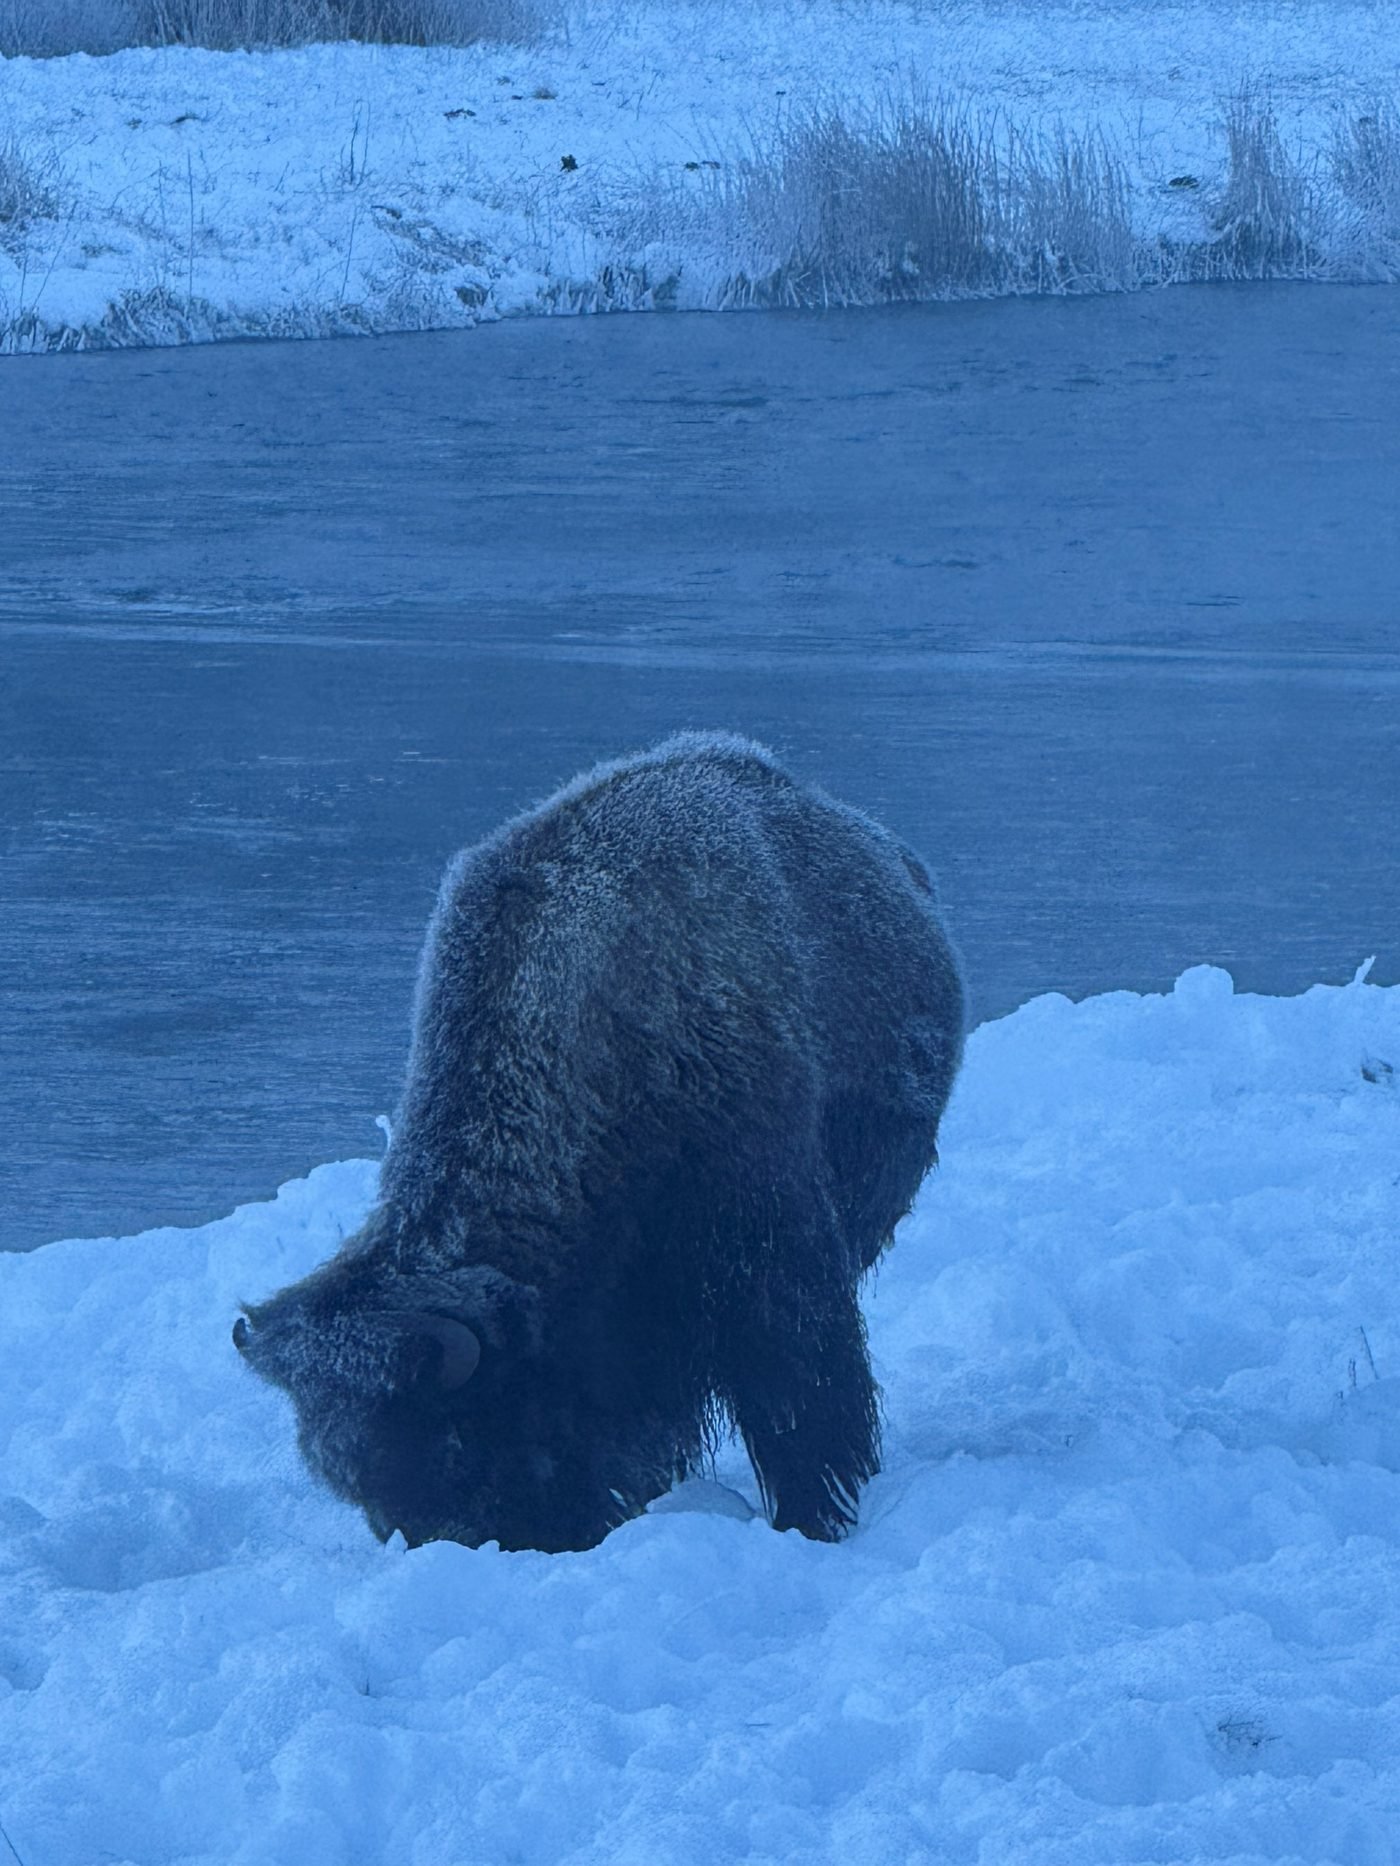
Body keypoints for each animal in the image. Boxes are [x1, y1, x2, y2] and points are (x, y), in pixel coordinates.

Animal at [234, 732, 964, 1551]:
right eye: (354, 1484)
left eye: (458, 1443)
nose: (489, 1543)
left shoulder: (774, 1248)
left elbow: (802, 1399)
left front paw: (815, 1518)